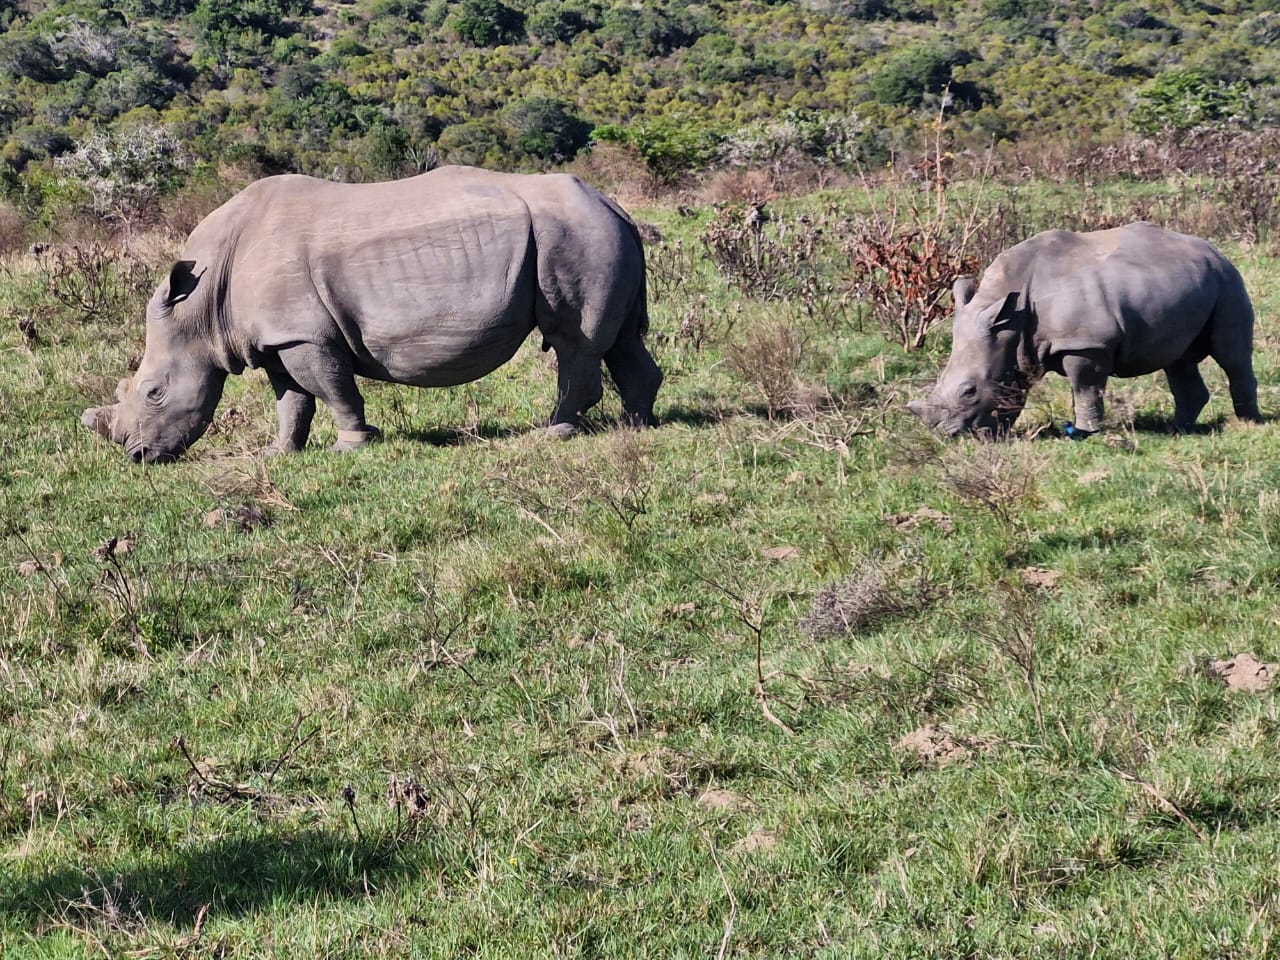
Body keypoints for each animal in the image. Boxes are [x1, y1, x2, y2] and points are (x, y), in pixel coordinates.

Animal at [82, 166, 662, 463]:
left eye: (155, 392)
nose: (135, 455)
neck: (204, 306)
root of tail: (614, 205)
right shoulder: (276, 339)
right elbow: (292, 401)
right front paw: (280, 454)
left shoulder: (304, 334)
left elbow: (334, 388)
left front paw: (352, 444)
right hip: (594, 233)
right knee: (621, 340)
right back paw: (640, 425)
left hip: (574, 235)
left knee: (572, 340)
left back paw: (554, 433)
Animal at [907, 222, 1262, 437]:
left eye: (969, 391)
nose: (946, 435)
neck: (1012, 321)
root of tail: (1214, 250)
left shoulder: (1085, 343)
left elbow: (1085, 387)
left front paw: (1086, 431)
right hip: (1189, 283)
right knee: (1179, 360)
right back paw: (1179, 430)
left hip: (1226, 280)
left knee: (1231, 354)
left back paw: (1249, 423)